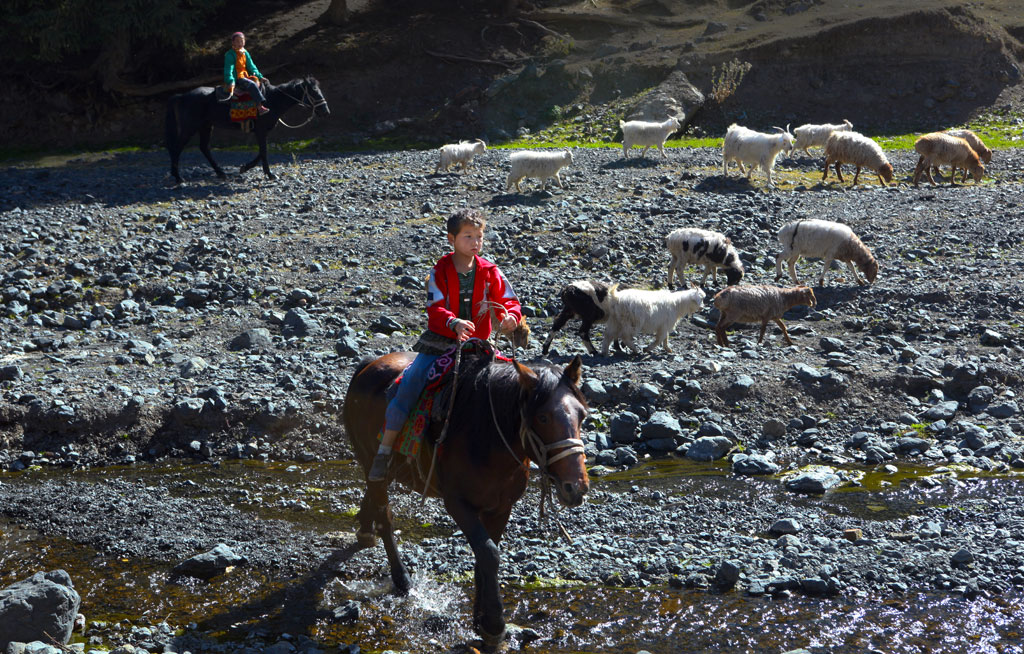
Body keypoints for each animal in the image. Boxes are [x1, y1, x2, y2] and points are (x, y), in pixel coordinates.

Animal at [165, 76, 329, 184]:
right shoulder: (261, 131)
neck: (272, 100)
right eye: (314, 92)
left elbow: (261, 152)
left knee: (204, 147)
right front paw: (270, 174)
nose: (325, 111)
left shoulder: (262, 132)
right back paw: (179, 178)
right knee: (177, 148)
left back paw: (221, 173)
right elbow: (264, 152)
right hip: (190, 127)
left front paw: (245, 168)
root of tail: (181, 96)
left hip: (206, 126)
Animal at [342, 350, 589, 646]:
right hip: (371, 459)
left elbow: (485, 557)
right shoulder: (458, 504)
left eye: (582, 415)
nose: (575, 487)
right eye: (542, 418)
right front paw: (494, 625)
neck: (487, 438)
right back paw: (402, 579)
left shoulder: (500, 507)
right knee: (385, 516)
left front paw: (480, 621)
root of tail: (368, 366)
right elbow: (488, 554)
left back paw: (364, 529)